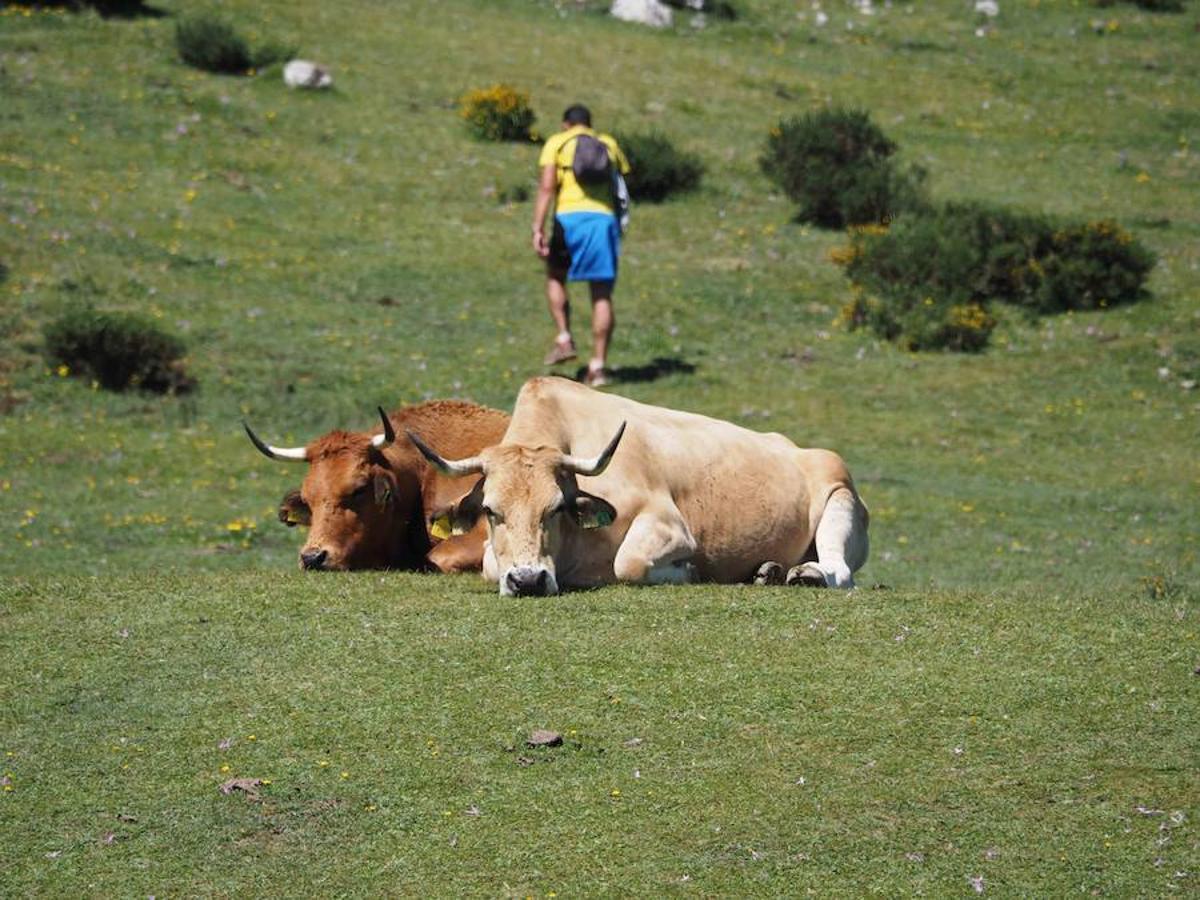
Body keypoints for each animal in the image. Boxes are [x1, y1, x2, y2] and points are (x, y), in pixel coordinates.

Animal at [408, 376, 868, 595]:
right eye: (491, 511)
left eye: (555, 508)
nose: (528, 581)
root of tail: (799, 450)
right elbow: (490, 565)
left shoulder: (669, 526)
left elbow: (628, 564)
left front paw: (689, 571)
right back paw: (769, 571)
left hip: (839, 499)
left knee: (840, 571)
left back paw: (807, 575)